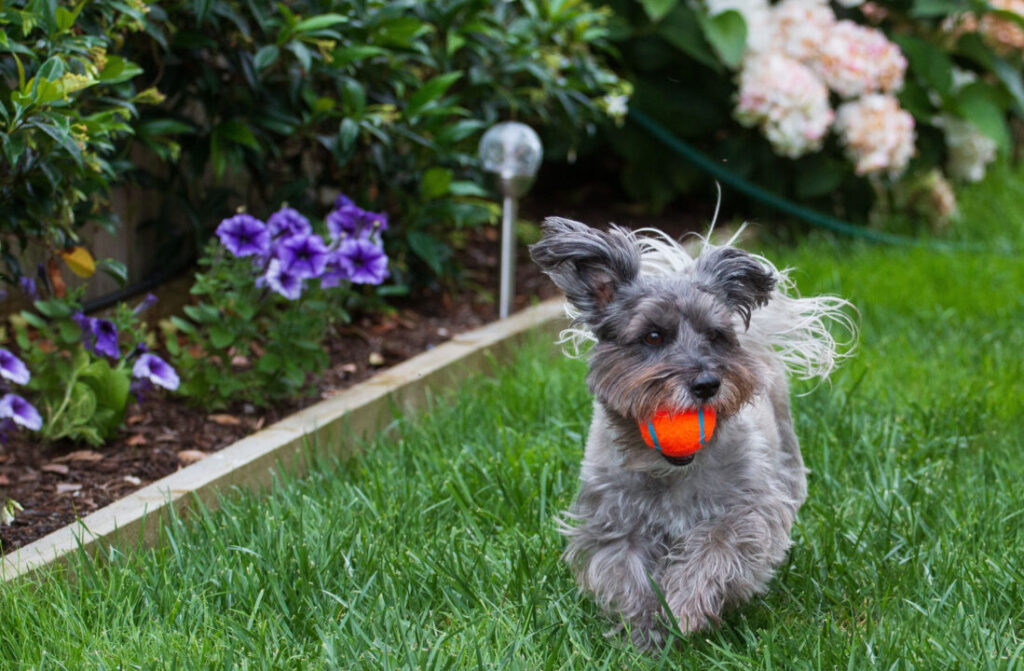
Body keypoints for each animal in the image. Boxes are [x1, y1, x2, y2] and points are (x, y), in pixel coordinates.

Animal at [528, 218, 856, 647]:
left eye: (716, 335)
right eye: (653, 336)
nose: (706, 384)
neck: (670, 471)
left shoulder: (743, 512)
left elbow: (712, 554)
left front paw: (683, 609)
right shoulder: (615, 526)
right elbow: (629, 575)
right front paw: (645, 632)